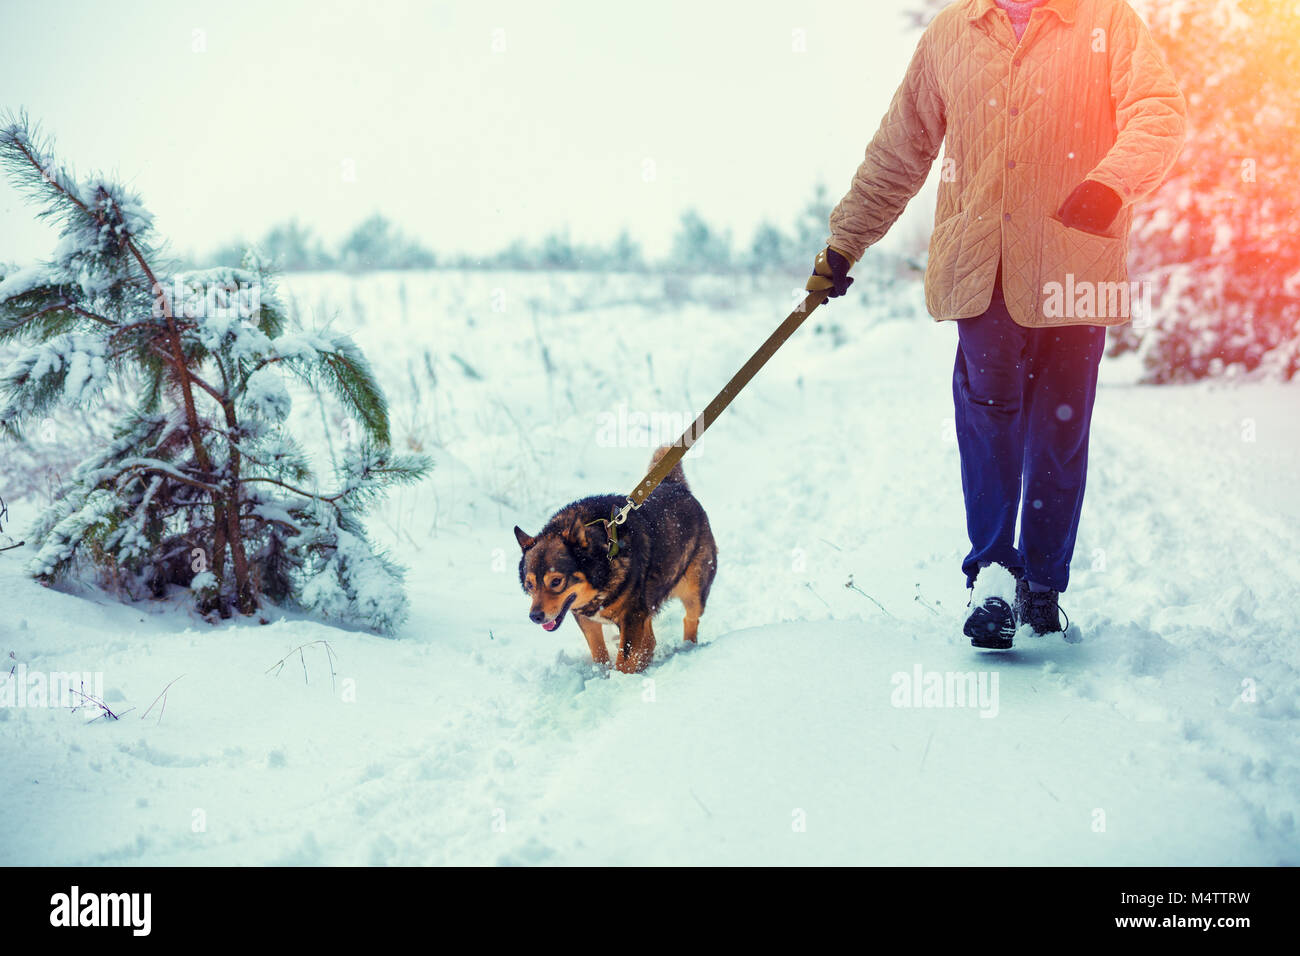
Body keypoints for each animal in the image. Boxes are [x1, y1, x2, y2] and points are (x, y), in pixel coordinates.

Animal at [512, 447, 717, 671]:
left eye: (556, 581)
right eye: (529, 585)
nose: (535, 616)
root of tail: (674, 485)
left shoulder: (631, 617)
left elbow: (624, 659)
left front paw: (621, 678)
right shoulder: (588, 619)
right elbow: (599, 652)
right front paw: (603, 673)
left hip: (694, 590)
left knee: (690, 619)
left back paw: (687, 648)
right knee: (651, 640)